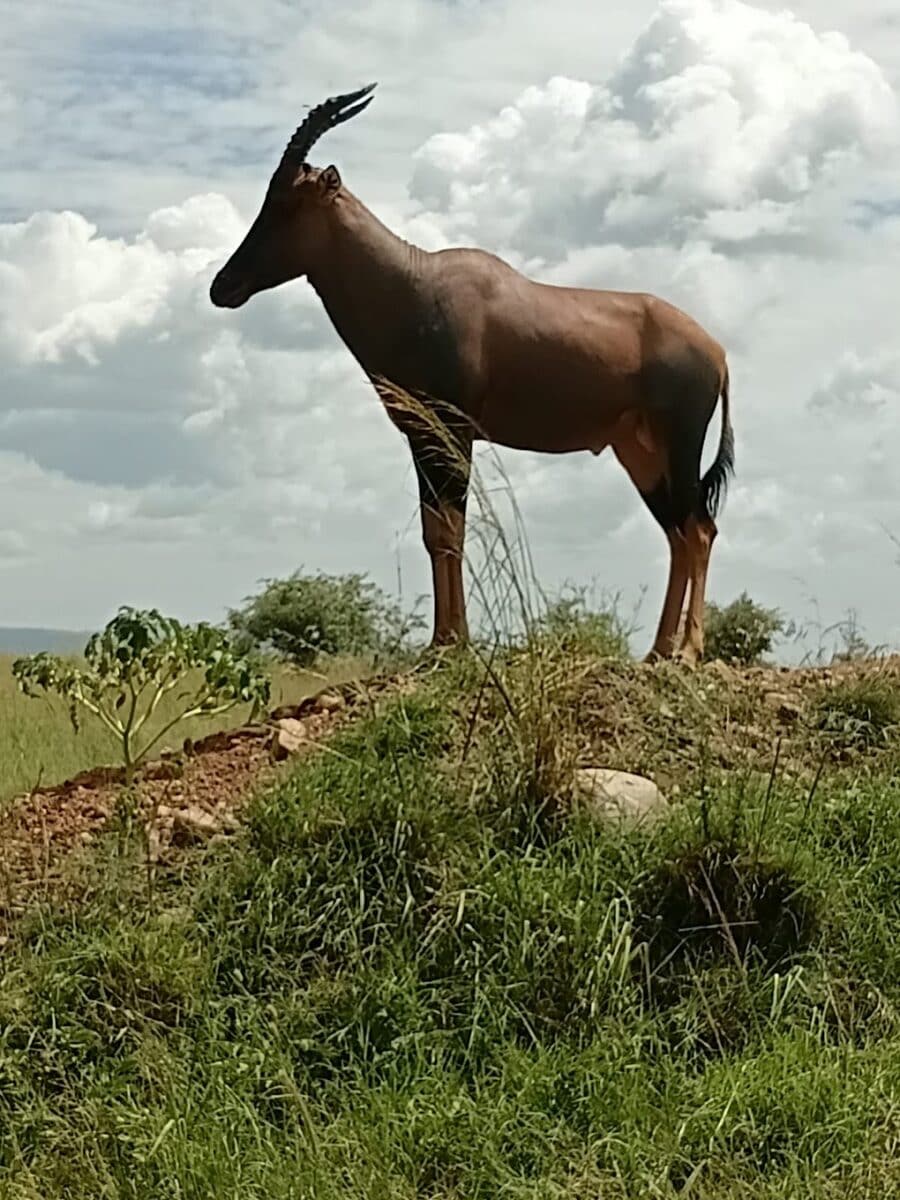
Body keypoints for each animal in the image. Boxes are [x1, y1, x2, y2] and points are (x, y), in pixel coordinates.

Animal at [210, 84, 734, 662]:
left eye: (287, 203)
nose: (222, 286)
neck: (415, 283)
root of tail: (717, 351)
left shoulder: (456, 431)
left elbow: (451, 531)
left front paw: (453, 643)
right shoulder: (421, 436)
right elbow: (433, 531)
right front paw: (441, 642)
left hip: (679, 444)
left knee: (699, 530)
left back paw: (687, 652)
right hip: (639, 454)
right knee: (677, 534)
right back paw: (658, 652)